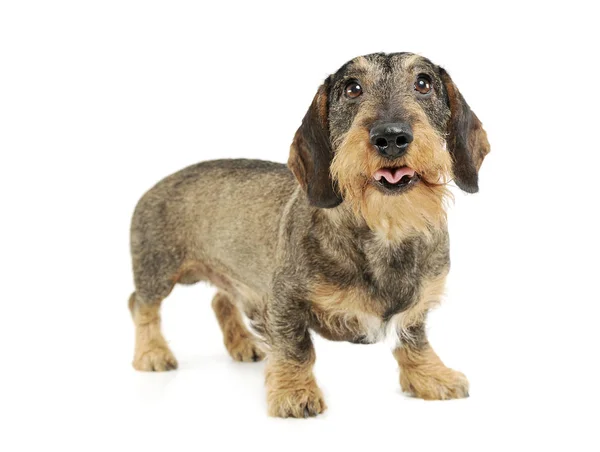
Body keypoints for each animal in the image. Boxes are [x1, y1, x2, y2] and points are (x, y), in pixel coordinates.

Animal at [129, 52, 490, 416]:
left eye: (423, 83)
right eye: (352, 88)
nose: (391, 137)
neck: (386, 229)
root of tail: (158, 184)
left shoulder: (416, 307)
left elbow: (414, 340)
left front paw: (431, 376)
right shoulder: (284, 300)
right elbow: (296, 348)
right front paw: (295, 392)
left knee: (220, 299)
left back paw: (243, 343)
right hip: (157, 272)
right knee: (141, 305)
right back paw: (153, 353)